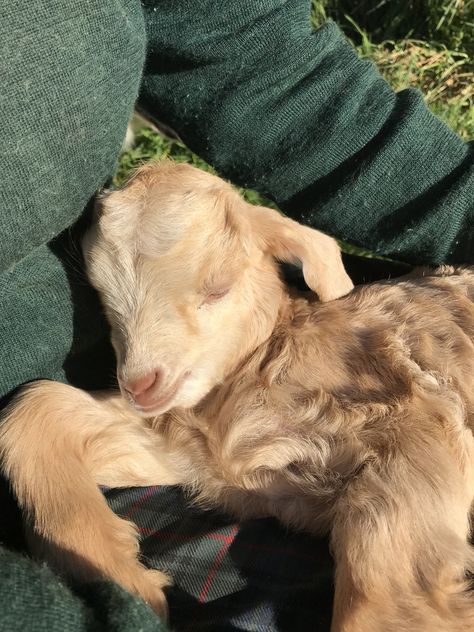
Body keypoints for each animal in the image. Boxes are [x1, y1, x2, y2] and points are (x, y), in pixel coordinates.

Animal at [0, 160, 474, 628]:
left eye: (218, 287)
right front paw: (120, 577)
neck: (260, 359)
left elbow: (387, 607)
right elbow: (34, 407)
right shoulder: (196, 455)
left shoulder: (412, 418)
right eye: (102, 296)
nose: (139, 385)